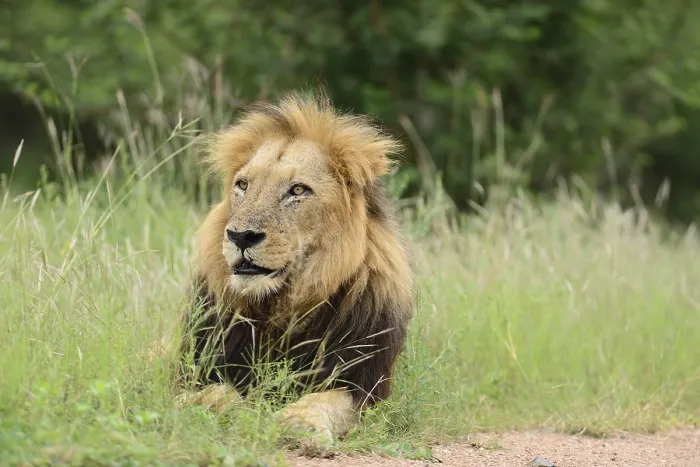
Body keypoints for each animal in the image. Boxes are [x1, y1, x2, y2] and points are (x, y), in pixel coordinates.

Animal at [173, 90, 415, 448]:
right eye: (243, 185)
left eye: (298, 190)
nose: (240, 236)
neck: (279, 307)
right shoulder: (196, 368)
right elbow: (213, 393)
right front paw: (220, 408)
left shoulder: (363, 386)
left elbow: (326, 401)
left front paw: (299, 423)